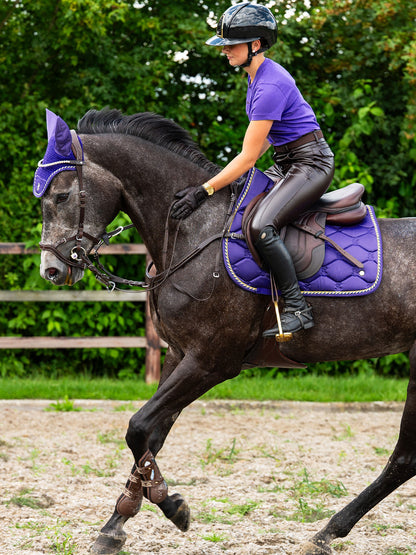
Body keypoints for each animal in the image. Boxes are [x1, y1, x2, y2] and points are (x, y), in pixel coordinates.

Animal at [35, 106, 416, 552]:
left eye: (61, 196)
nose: (51, 271)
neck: (192, 231)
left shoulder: (211, 361)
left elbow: (138, 428)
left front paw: (172, 506)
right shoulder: (179, 354)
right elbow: (150, 437)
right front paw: (115, 526)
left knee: (403, 457)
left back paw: (327, 531)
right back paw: (328, 530)